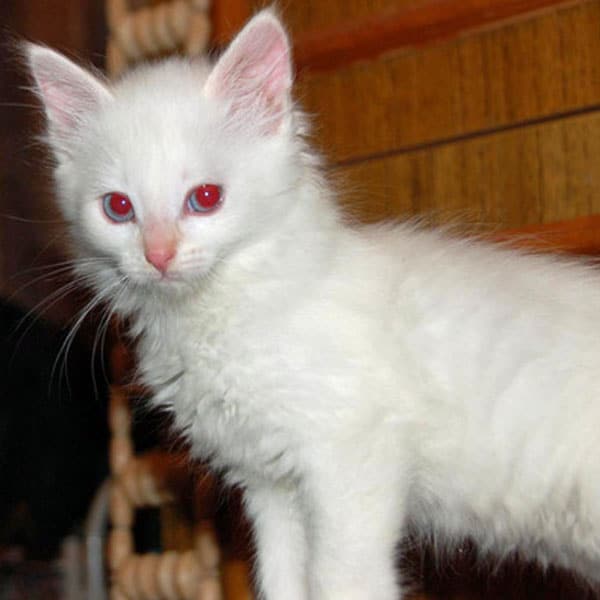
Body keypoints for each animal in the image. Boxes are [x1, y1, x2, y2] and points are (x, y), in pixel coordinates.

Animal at [27, 9, 600, 600]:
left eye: (205, 198)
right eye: (118, 208)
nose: (158, 255)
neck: (227, 312)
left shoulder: (351, 455)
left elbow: (340, 577)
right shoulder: (271, 485)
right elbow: (281, 578)